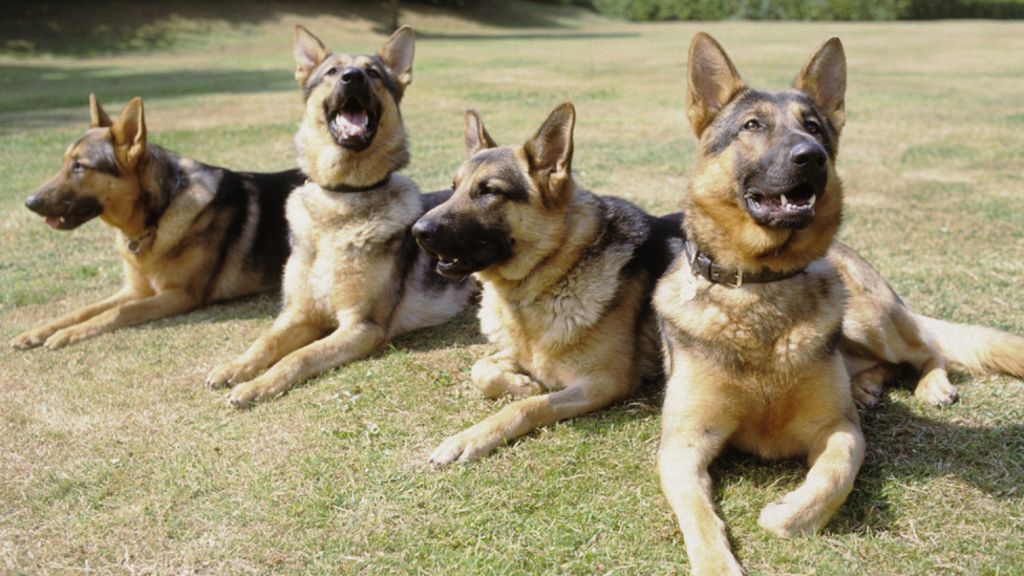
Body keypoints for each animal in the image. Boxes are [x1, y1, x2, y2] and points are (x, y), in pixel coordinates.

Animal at [9, 93, 301, 350]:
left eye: (80, 166)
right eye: (64, 163)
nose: (29, 202)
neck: (161, 212)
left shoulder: (180, 294)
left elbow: (119, 312)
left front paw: (66, 334)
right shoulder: (133, 289)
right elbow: (83, 310)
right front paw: (38, 331)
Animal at [209, 24, 481, 405]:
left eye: (374, 73)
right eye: (333, 72)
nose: (353, 78)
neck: (342, 201)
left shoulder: (362, 325)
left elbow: (299, 356)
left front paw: (256, 386)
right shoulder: (299, 312)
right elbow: (265, 341)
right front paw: (235, 368)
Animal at [411, 101, 684, 461]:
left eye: (489, 191)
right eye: (454, 188)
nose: (416, 231)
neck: (554, 275)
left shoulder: (603, 383)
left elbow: (527, 407)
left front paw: (469, 437)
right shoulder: (521, 352)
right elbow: (480, 368)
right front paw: (520, 383)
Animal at [655, 33, 1024, 569]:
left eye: (813, 127)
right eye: (752, 126)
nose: (811, 156)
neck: (762, 288)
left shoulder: (837, 428)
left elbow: (836, 473)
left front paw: (789, 517)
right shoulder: (682, 445)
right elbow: (699, 517)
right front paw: (717, 565)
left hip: (874, 321)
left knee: (927, 349)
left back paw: (930, 386)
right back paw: (868, 385)